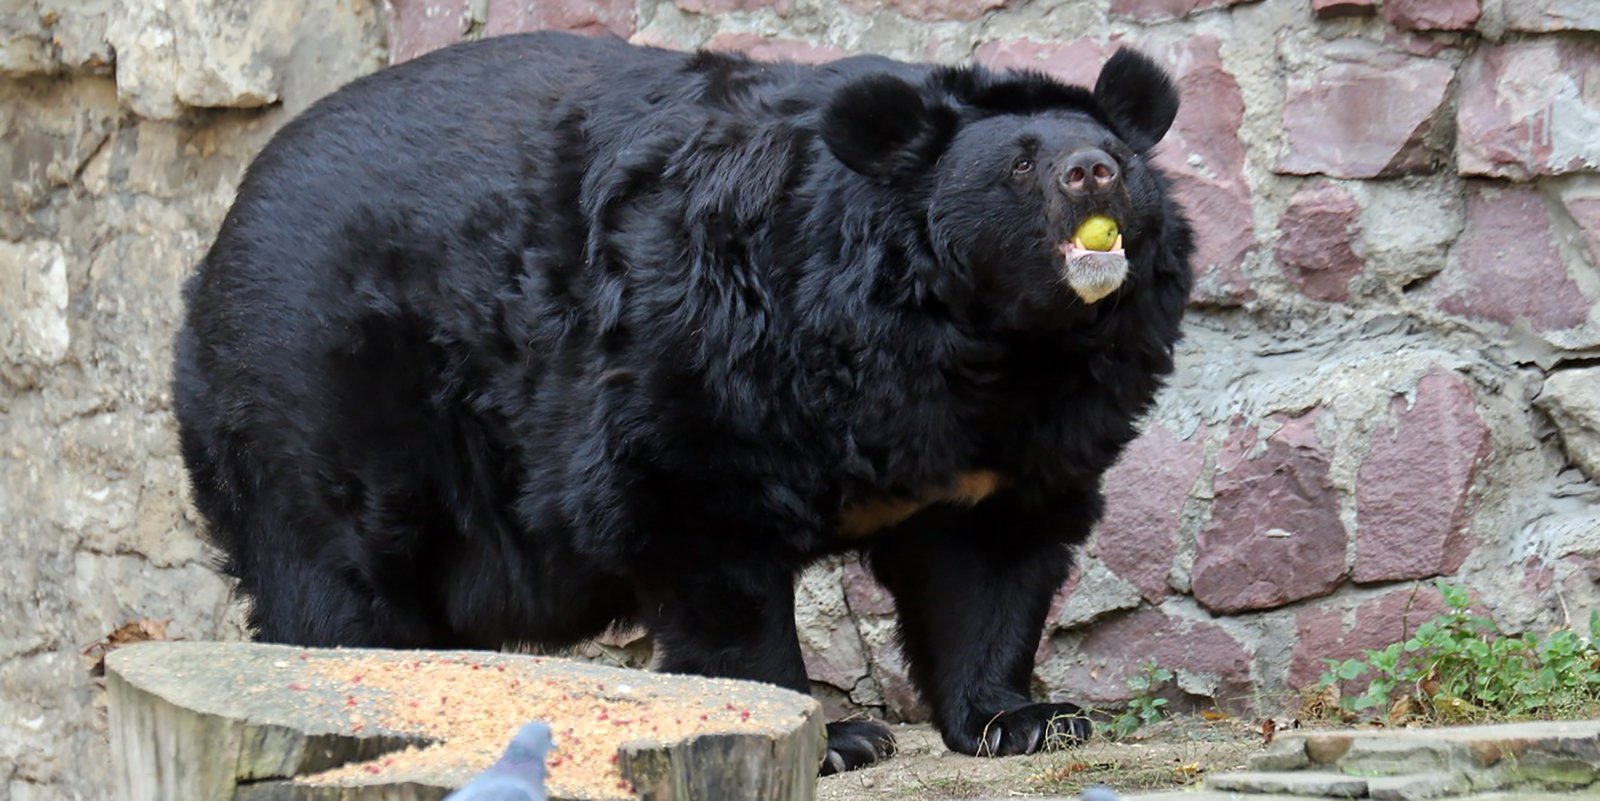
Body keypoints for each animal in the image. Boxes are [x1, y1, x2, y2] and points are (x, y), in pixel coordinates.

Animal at [178, 32, 1190, 773]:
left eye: (1119, 158)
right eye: (1020, 164)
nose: (1092, 172)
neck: (988, 343)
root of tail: (222, 232)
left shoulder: (1023, 434)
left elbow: (991, 561)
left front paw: (1025, 719)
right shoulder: (714, 349)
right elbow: (702, 535)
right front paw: (835, 735)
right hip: (319, 395)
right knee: (334, 580)